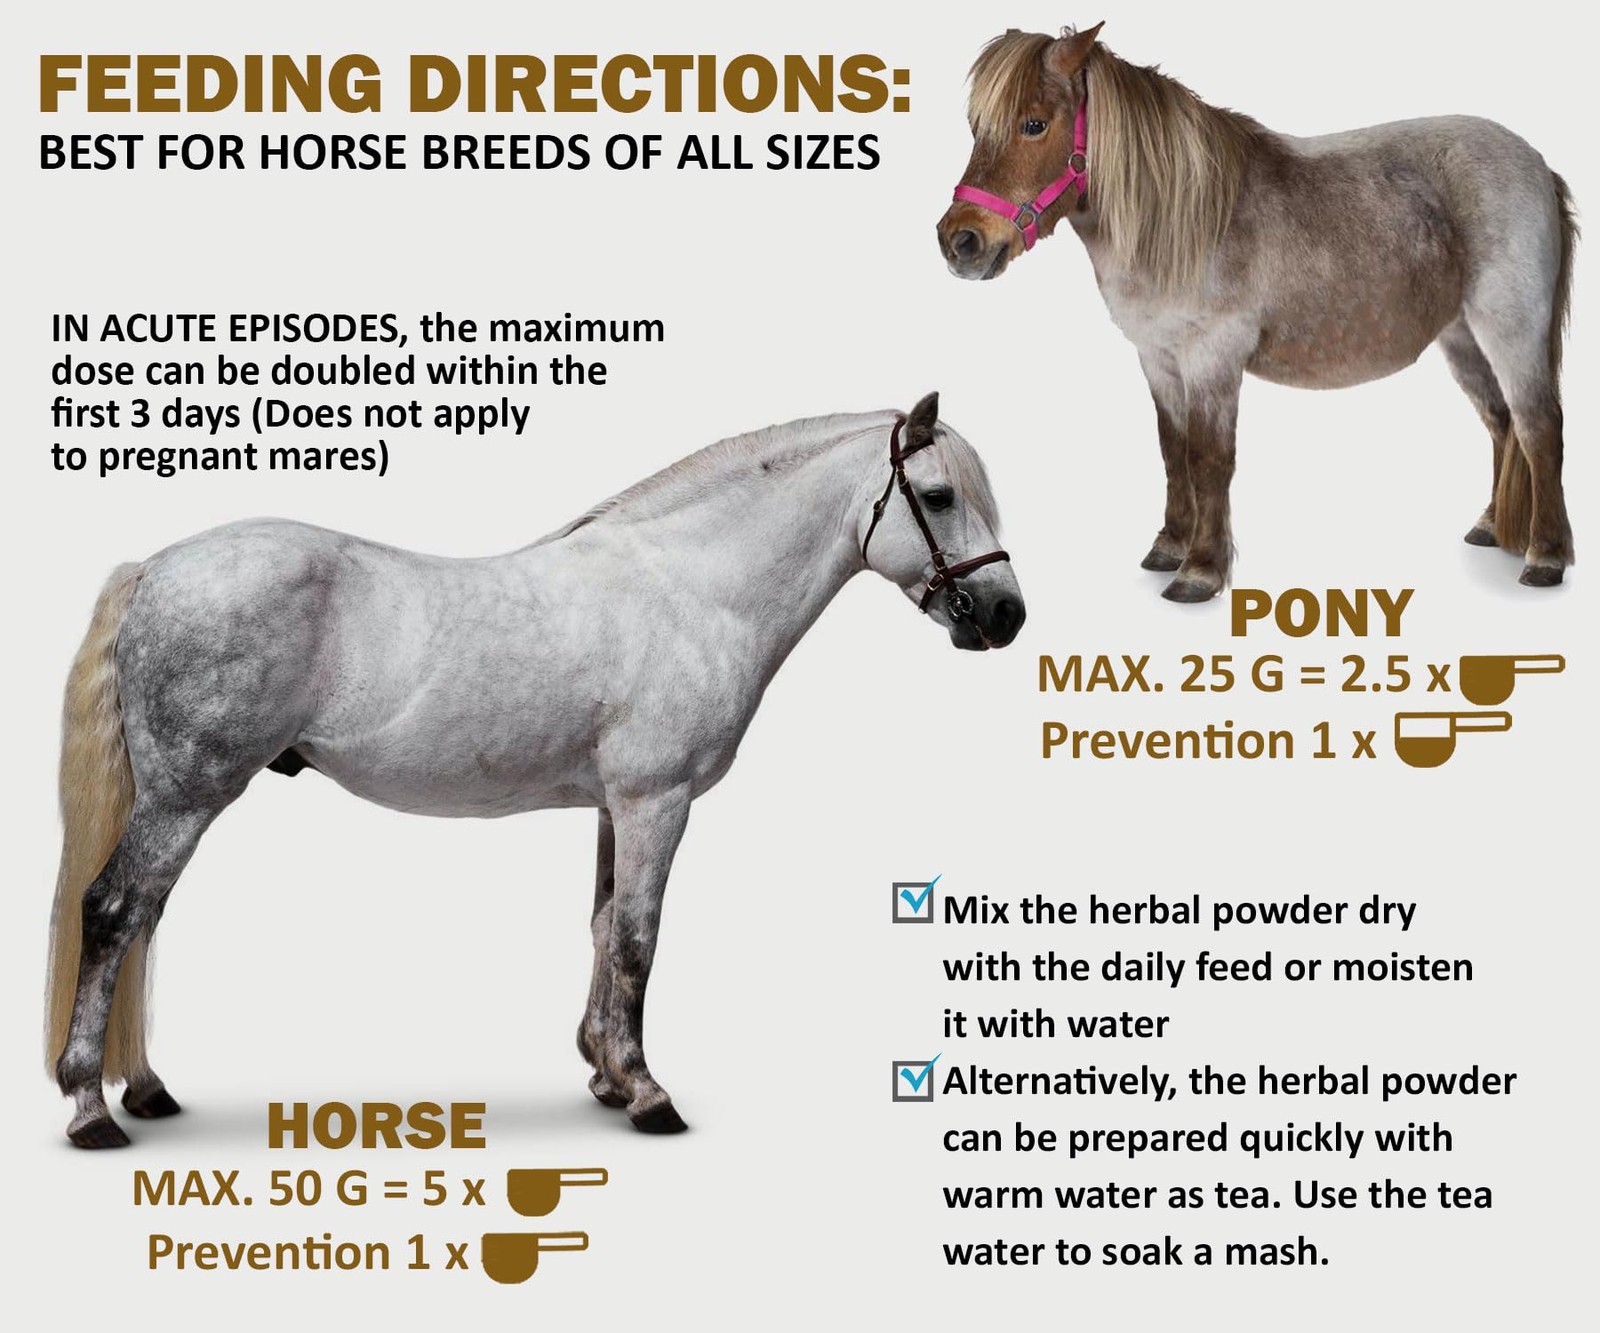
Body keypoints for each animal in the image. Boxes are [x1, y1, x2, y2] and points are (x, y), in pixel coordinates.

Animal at [44, 393, 1025, 1147]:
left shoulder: (613, 807)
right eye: (937, 495)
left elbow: (601, 928)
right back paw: (93, 1107)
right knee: (114, 911)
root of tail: (156, 568)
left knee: (145, 920)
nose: (1005, 616)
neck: (692, 590)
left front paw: (603, 1075)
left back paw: (145, 1090)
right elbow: (638, 939)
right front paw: (647, 1092)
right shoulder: (657, 800)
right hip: (186, 794)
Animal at [937, 24, 1578, 600]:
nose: (960, 242)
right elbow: (1173, 451)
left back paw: (1545, 558)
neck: (1186, 219)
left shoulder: (1212, 359)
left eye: (1034, 123)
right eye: (976, 128)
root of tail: (1537, 165)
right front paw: (1169, 547)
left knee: (1538, 427)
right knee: (1501, 424)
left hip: (1512, 330)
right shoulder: (1159, 359)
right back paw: (1492, 528)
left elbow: (1209, 459)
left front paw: (1199, 571)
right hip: (1464, 338)